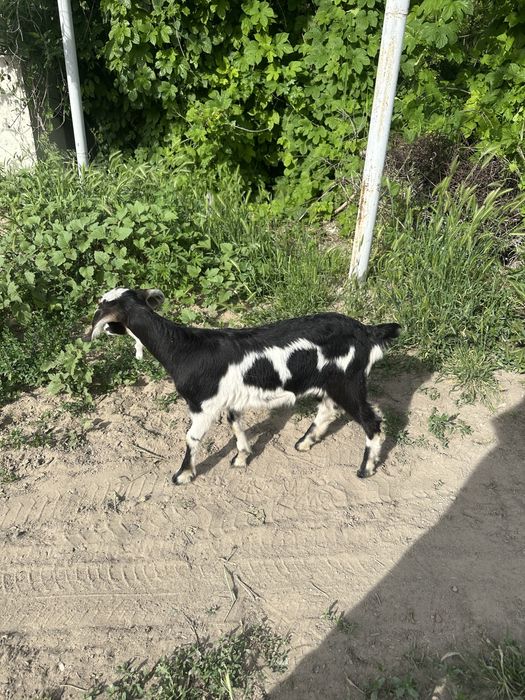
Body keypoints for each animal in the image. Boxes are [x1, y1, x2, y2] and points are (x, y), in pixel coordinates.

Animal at [86, 287, 400, 485]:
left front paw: (183, 475)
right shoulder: (230, 400)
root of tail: (367, 332)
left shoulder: (202, 405)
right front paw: (242, 457)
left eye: (103, 305)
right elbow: (235, 424)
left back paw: (365, 469)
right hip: (332, 382)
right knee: (328, 410)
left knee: (371, 422)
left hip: (348, 381)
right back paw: (304, 442)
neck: (184, 348)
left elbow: (192, 438)